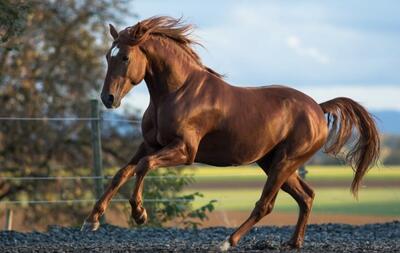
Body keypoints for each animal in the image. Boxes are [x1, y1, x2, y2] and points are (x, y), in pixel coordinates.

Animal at [80, 16, 378, 250]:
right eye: (107, 56)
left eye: (125, 57)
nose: (108, 98)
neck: (177, 92)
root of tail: (318, 107)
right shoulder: (150, 144)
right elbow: (122, 172)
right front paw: (91, 220)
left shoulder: (184, 151)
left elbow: (143, 166)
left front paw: (140, 213)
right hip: (274, 162)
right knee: (306, 196)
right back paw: (293, 243)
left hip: (284, 162)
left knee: (266, 204)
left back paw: (227, 242)